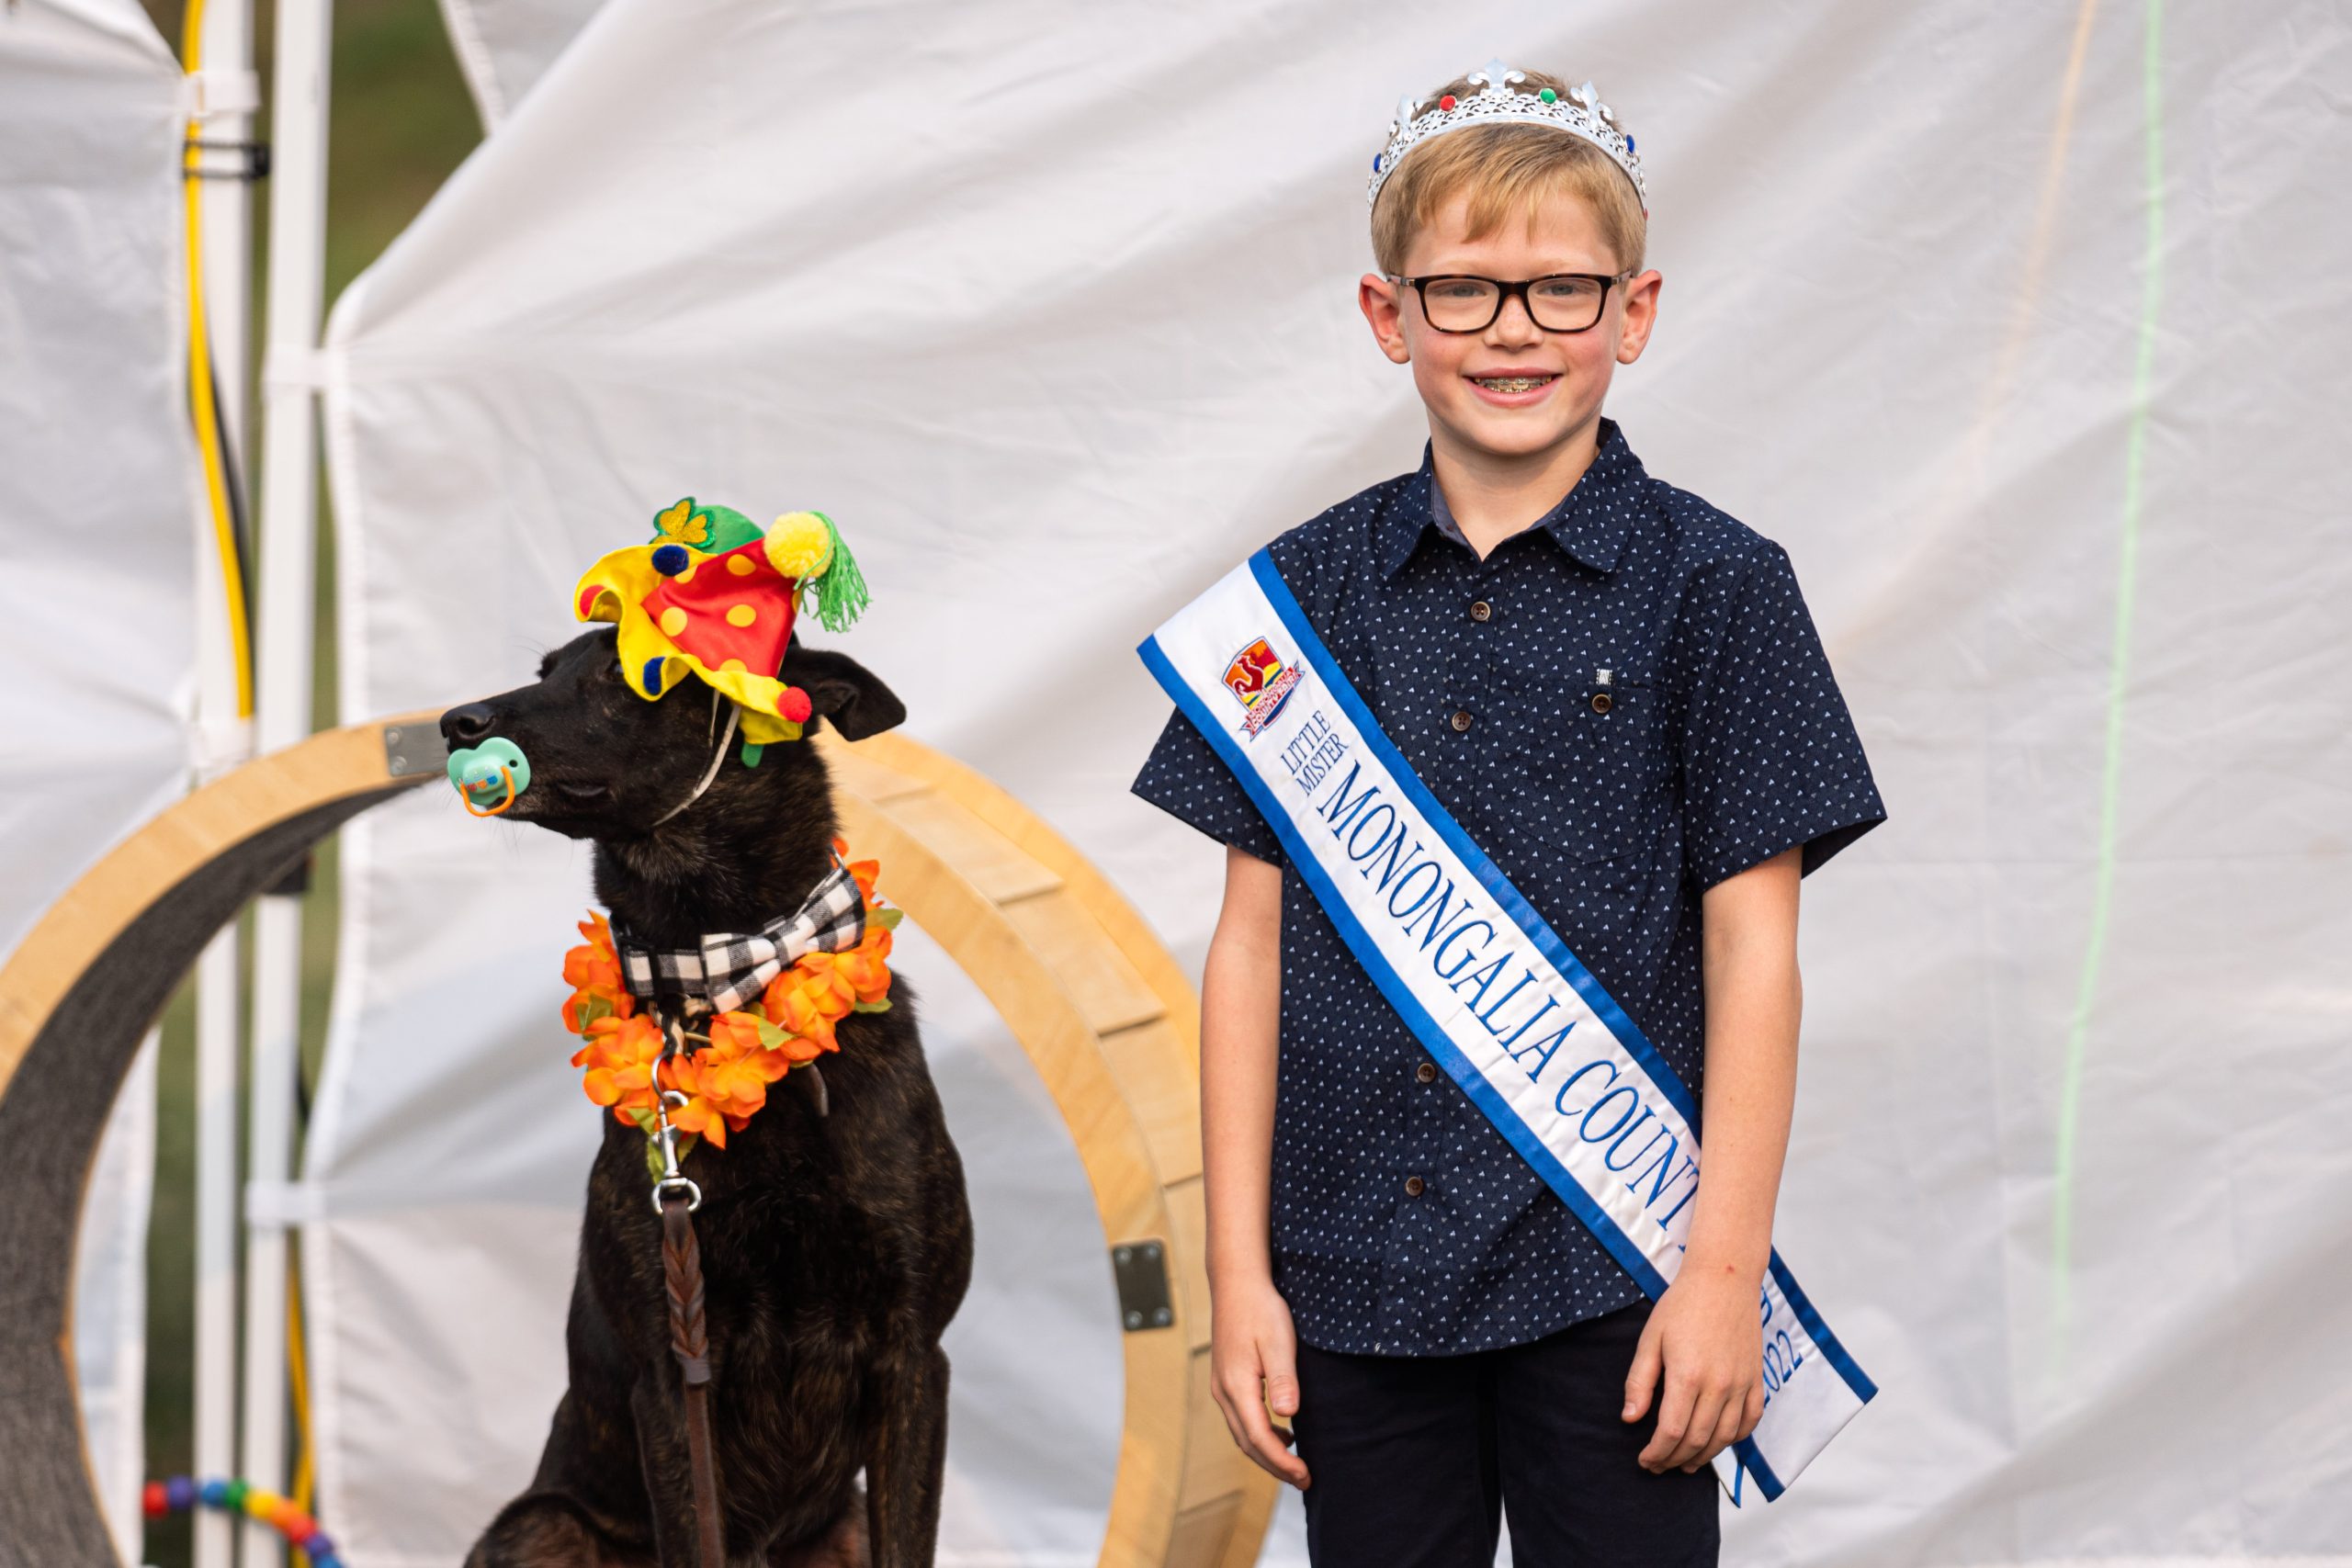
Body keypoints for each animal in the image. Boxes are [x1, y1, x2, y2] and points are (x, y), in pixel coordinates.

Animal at [442, 629, 973, 1568]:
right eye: (545, 670)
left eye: (626, 673)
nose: (454, 723)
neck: (724, 975)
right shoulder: (670, 1369)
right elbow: (694, 1530)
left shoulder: (915, 1354)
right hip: (542, 1523)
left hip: (841, 1526)